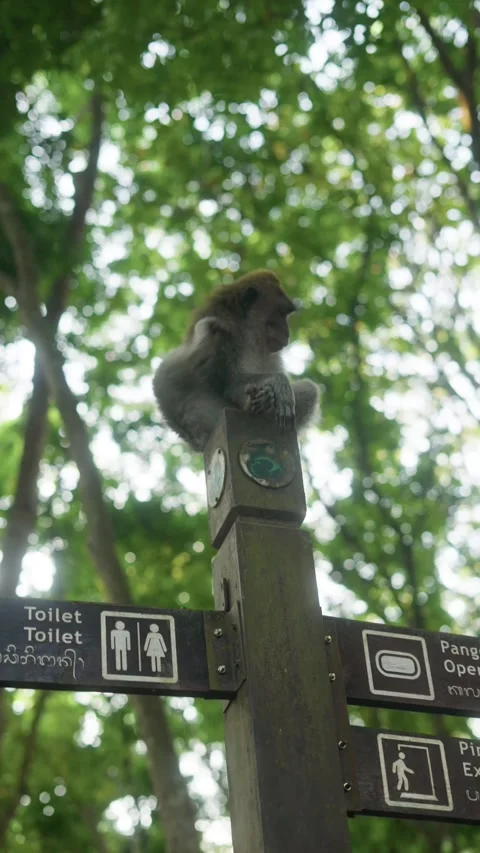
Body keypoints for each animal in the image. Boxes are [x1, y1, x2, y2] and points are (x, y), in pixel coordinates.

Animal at [153, 270, 319, 451]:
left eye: (286, 314)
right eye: (281, 314)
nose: (286, 332)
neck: (248, 329)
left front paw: (269, 392)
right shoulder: (226, 334)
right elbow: (229, 383)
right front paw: (277, 383)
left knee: (310, 389)